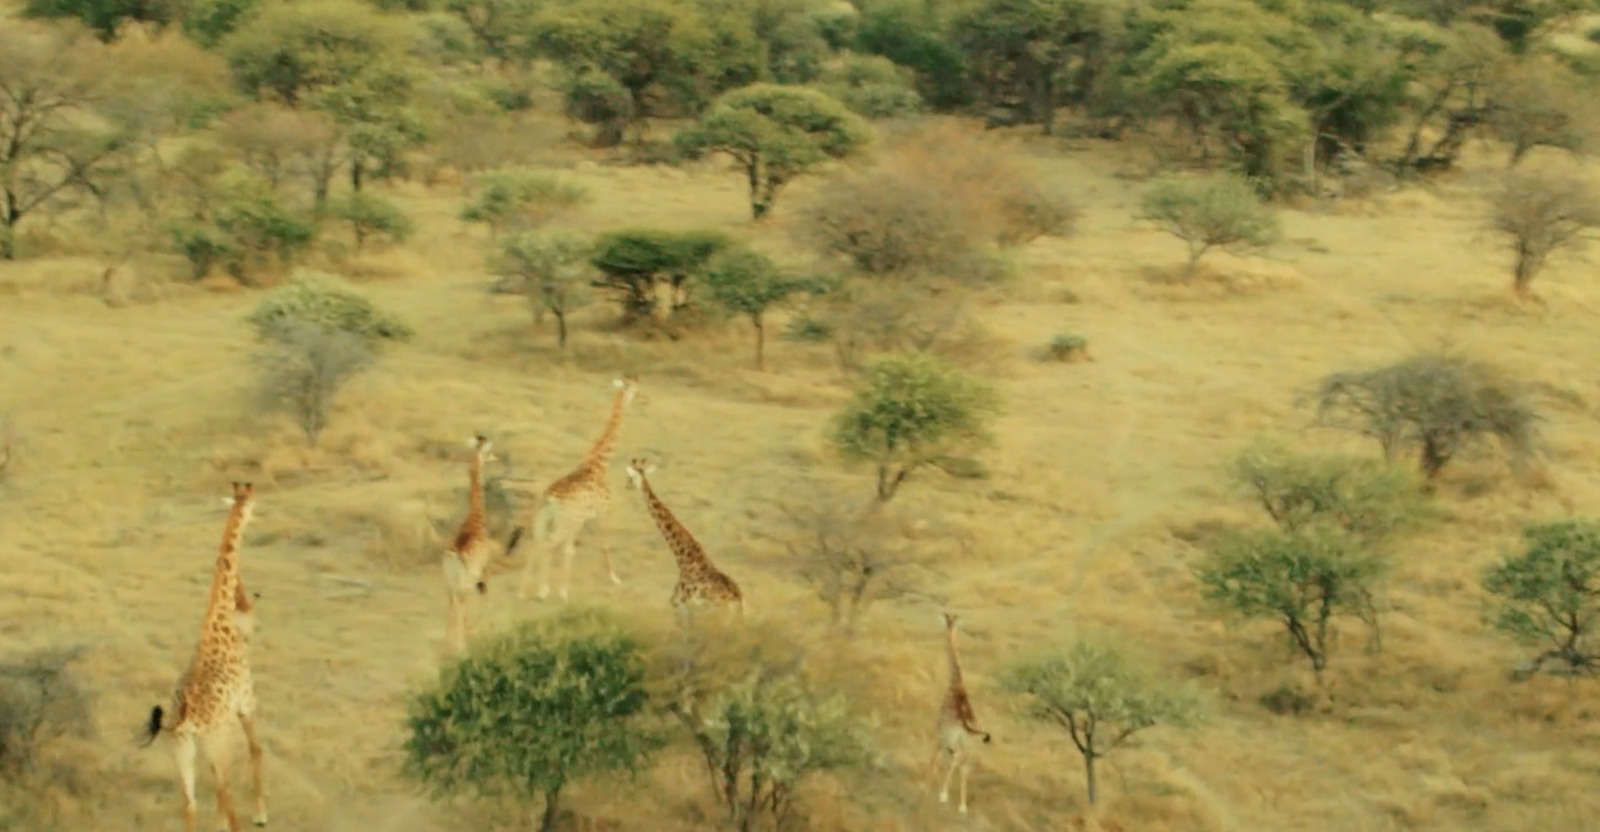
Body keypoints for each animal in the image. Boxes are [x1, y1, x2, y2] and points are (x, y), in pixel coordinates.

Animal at [145, 480, 270, 832]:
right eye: (252, 503)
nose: (258, 515)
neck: (220, 623)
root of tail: (184, 720)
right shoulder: (246, 702)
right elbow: (256, 748)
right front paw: (261, 813)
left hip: (182, 751)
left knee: (191, 803)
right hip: (216, 744)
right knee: (225, 793)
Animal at [512, 379, 636, 604]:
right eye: (634, 390)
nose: (644, 399)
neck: (598, 464)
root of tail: (549, 498)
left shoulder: (580, 521)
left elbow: (569, 551)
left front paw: (561, 590)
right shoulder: (600, 512)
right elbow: (602, 543)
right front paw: (613, 578)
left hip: (545, 520)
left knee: (538, 544)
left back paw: (524, 591)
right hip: (564, 522)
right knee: (547, 545)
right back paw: (541, 591)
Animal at [928, 611, 985, 812]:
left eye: (946, 623)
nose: (947, 633)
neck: (956, 685)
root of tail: (967, 724)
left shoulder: (940, 728)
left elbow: (937, 750)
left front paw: (928, 779)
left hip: (954, 740)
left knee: (954, 760)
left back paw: (944, 795)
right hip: (969, 745)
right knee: (964, 765)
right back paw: (962, 806)